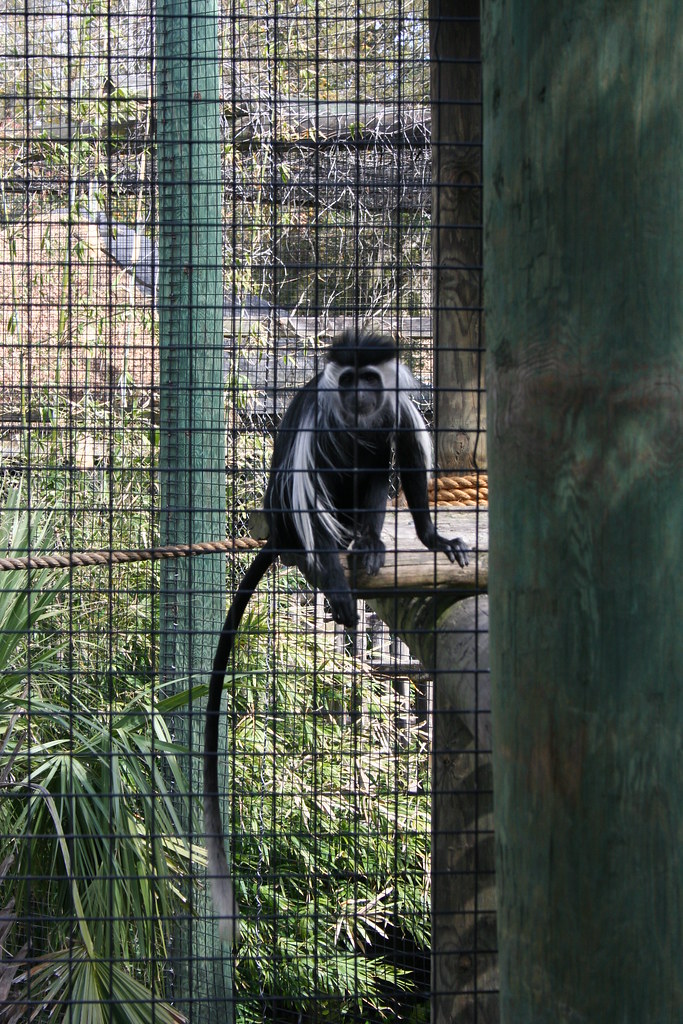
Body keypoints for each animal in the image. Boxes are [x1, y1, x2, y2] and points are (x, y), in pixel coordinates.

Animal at [204, 330, 469, 943]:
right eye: (345, 381)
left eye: (367, 379)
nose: (354, 396)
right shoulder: (314, 424)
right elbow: (313, 498)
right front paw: (335, 582)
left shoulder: (395, 409)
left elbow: (407, 460)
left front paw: (429, 535)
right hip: (292, 511)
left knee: (372, 465)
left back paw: (370, 541)